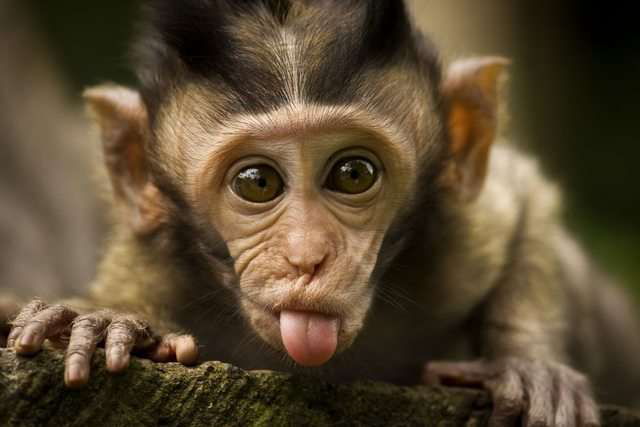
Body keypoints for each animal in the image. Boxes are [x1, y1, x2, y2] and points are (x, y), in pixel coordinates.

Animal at [4, 1, 640, 426]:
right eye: (257, 183)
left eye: (353, 174)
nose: (307, 257)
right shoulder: (154, 262)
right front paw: (110, 321)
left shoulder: (461, 240)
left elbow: (526, 199)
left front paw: (528, 364)